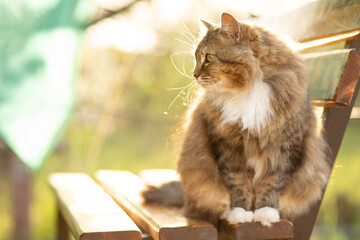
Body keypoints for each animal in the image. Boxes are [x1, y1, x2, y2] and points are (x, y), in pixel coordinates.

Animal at [142, 12, 330, 227]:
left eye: (209, 57)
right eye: (196, 58)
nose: (194, 75)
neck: (248, 91)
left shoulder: (284, 147)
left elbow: (271, 182)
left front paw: (266, 213)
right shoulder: (227, 147)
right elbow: (238, 183)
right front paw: (240, 213)